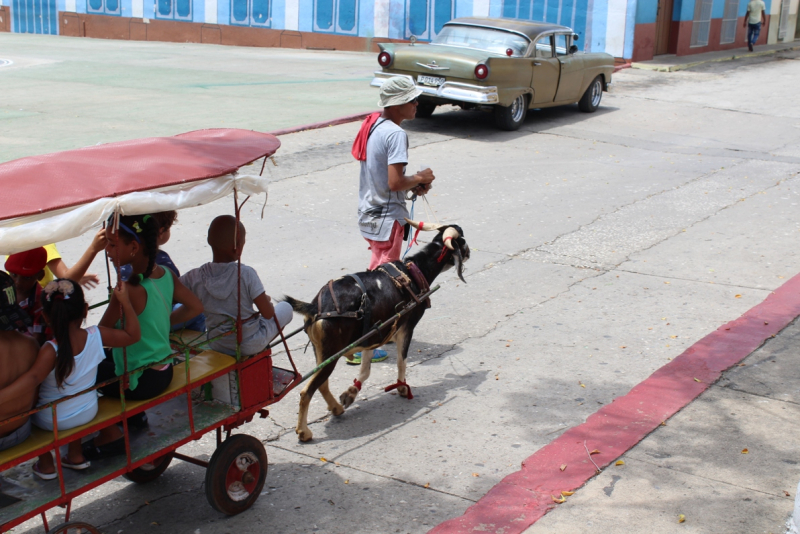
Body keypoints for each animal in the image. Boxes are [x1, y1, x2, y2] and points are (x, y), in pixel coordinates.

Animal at [284, 223, 468, 444]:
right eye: (463, 242)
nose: (468, 252)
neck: (414, 271)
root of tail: (317, 307)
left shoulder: (372, 334)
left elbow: (365, 370)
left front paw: (351, 393)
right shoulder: (406, 327)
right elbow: (401, 361)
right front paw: (402, 387)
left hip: (321, 352)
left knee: (321, 384)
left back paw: (336, 408)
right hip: (331, 353)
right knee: (306, 391)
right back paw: (304, 431)